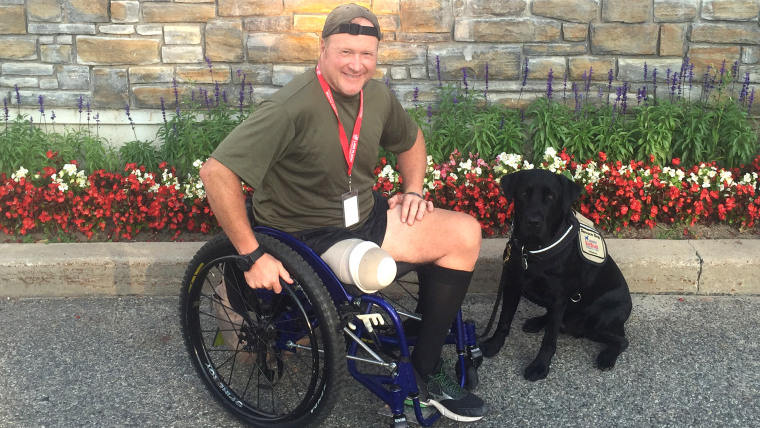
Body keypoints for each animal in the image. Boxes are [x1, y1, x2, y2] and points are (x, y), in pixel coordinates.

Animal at [480, 170, 636, 382]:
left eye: (551, 196)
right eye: (523, 193)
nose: (533, 222)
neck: (532, 251)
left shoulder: (558, 298)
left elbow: (549, 339)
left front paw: (540, 366)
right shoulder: (512, 286)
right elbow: (503, 321)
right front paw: (494, 345)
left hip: (595, 322)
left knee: (622, 340)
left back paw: (607, 357)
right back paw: (538, 321)